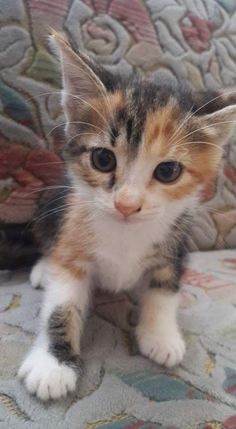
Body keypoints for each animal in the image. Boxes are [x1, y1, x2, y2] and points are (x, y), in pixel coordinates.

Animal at [18, 31, 236, 400]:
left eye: (168, 171)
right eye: (103, 160)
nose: (127, 204)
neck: (125, 232)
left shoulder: (176, 241)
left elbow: (165, 287)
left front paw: (161, 336)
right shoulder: (73, 238)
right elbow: (61, 304)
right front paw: (53, 363)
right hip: (51, 203)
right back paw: (43, 269)